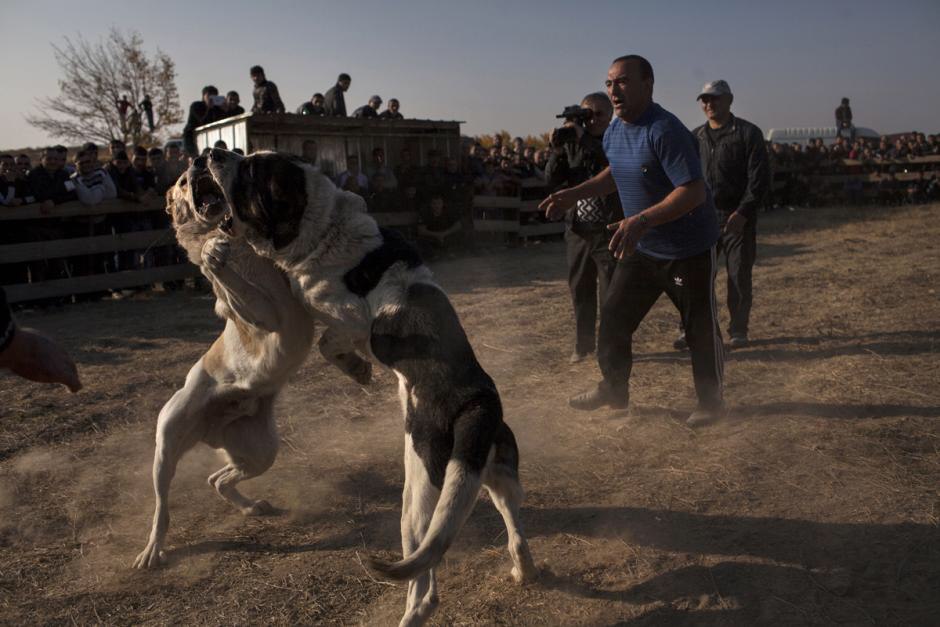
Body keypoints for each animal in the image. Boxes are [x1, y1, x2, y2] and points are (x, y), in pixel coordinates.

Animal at [208, 150, 540, 624]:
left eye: (252, 171)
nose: (211, 152)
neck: (323, 227)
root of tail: (478, 403)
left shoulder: (348, 320)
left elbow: (331, 343)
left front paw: (357, 370)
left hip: (417, 498)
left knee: (424, 585)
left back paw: (412, 613)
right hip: (496, 479)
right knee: (515, 530)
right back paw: (523, 571)